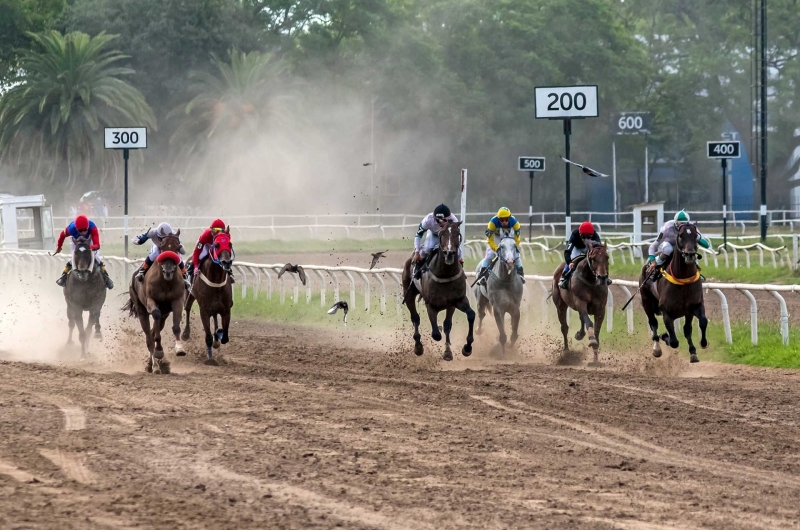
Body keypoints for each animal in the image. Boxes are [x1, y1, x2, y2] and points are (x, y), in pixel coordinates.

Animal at [122, 231, 187, 372]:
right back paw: (155, 366)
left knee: (154, 330)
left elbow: (176, 326)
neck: (166, 283)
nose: (168, 271)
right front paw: (158, 351)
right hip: (141, 309)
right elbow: (155, 324)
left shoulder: (177, 300)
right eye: (162, 247)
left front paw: (179, 348)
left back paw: (153, 364)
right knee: (149, 336)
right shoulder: (151, 300)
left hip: (165, 313)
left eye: (177, 247)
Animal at [180, 223, 231, 364]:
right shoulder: (204, 310)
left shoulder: (226, 309)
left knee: (215, 316)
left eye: (230, 244)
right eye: (217, 245)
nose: (226, 262)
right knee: (187, 308)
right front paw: (210, 359)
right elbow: (208, 336)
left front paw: (218, 337)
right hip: (189, 294)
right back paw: (185, 334)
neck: (216, 280)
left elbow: (225, 336)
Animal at [400, 221, 476, 360]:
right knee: (415, 318)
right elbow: (436, 334)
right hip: (409, 294)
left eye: (458, 234)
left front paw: (466, 348)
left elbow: (470, 315)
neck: (445, 274)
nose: (449, 253)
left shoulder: (457, 301)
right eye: (442, 234)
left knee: (447, 323)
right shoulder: (431, 305)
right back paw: (418, 347)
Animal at [640, 221, 708, 360]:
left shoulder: (694, 307)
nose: (690, 254)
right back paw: (657, 348)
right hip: (646, 302)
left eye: (696, 236)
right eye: (681, 236)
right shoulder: (667, 312)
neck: (682, 280)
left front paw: (699, 346)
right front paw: (665, 336)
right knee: (653, 323)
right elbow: (673, 342)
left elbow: (701, 323)